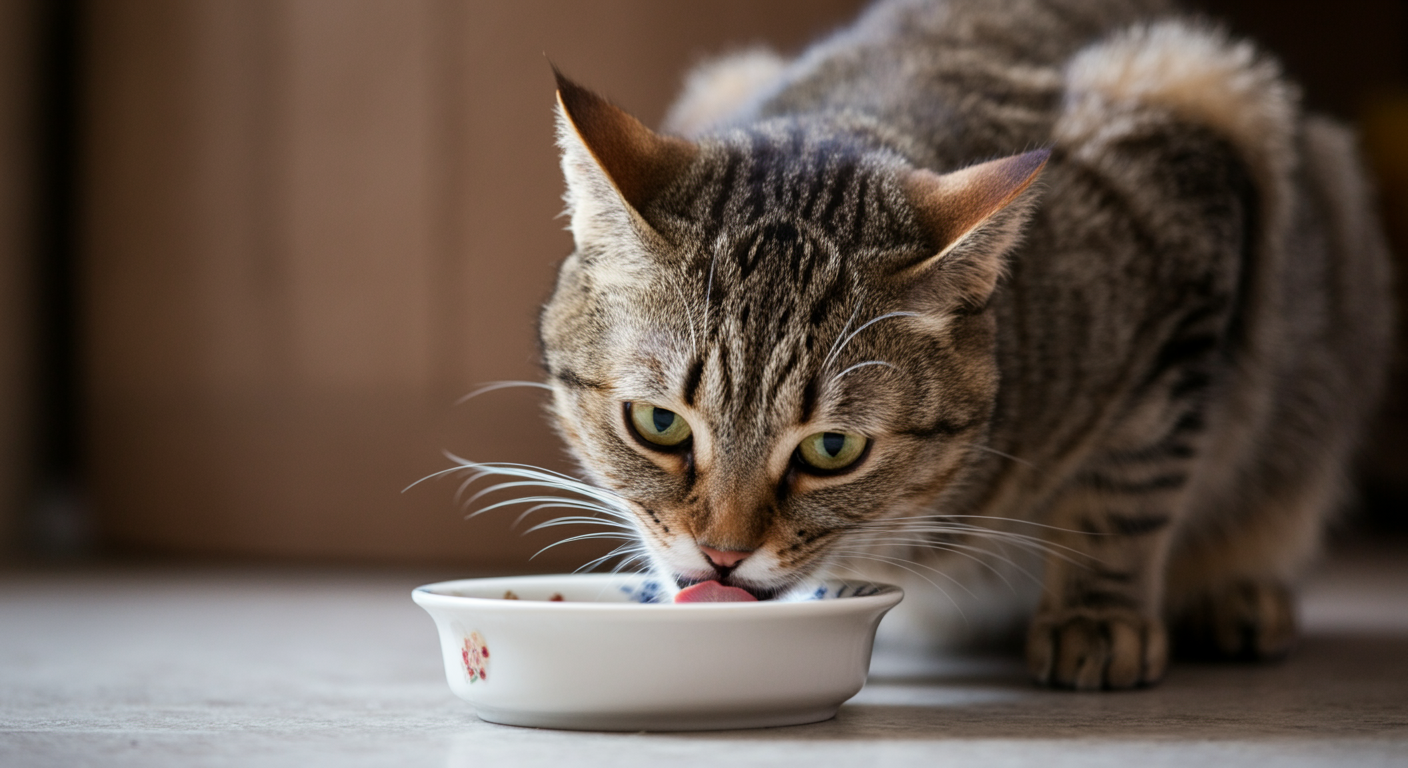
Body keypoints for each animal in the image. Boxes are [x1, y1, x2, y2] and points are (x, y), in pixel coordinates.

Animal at [529, 0, 1396, 690]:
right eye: (659, 424)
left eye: (833, 449)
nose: (721, 557)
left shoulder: (1186, 184)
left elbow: (1126, 489)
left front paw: (1097, 616)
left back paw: (1237, 594)